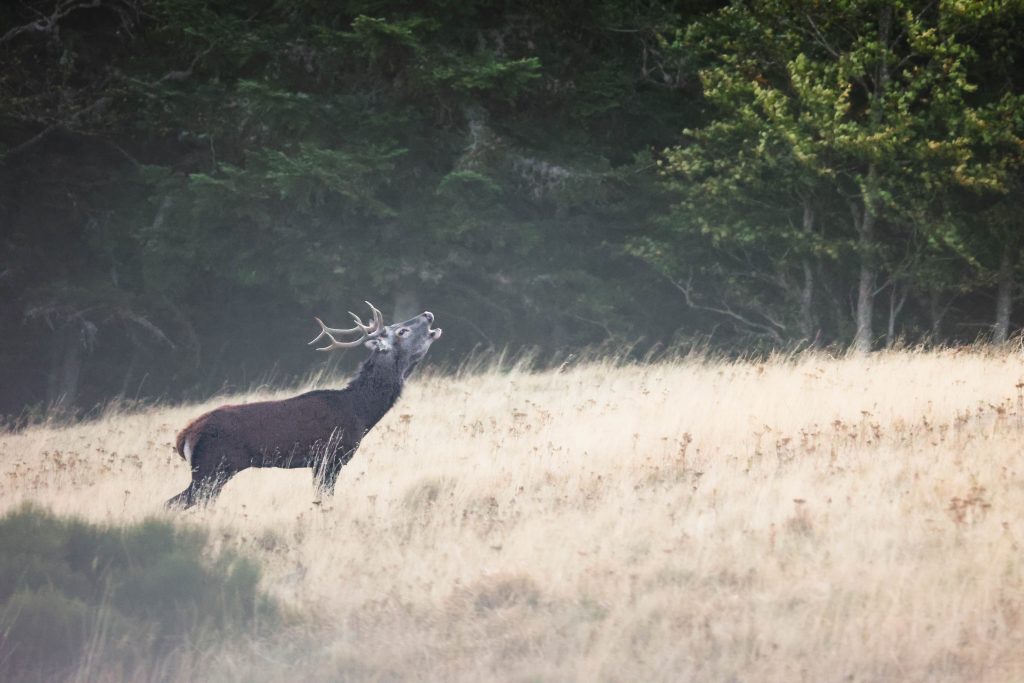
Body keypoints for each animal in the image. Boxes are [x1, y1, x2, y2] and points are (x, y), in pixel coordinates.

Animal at [165, 302, 442, 509]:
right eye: (402, 331)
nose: (428, 315)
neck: (360, 412)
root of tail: (185, 436)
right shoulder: (329, 457)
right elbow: (324, 500)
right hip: (211, 468)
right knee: (177, 502)